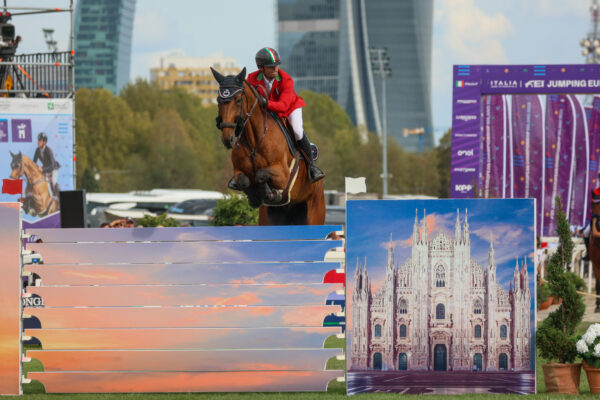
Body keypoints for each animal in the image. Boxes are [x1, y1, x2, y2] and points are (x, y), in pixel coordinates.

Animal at [211, 67, 324, 227]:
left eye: (238, 100)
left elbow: (261, 174)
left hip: (314, 212)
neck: (254, 141)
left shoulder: (283, 175)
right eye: (219, 100)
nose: (228, 138)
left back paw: (314, 172)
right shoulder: (238, 171)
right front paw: (255, 197)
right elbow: (243, 180)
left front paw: (269, 193)